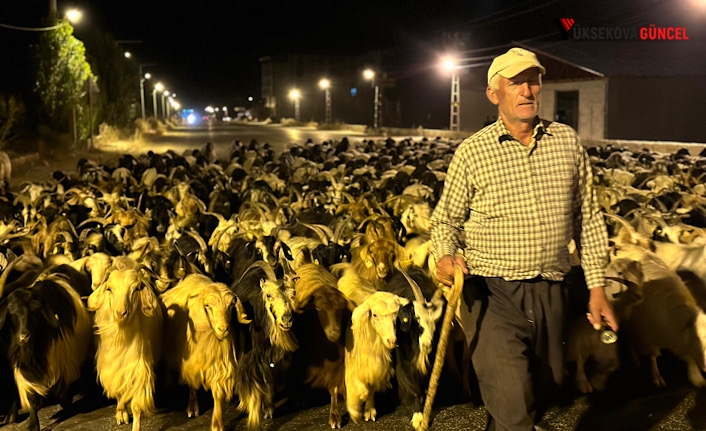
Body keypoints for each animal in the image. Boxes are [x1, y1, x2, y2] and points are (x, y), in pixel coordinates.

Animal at [86, 256, 164, 431]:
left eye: (136, 288)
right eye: (109, 289)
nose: (121, 313)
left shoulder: (138, 367)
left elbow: (135, 403)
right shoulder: (112, 367)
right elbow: (119, 392)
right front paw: (120, 414)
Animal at [160, 276, 250, 431]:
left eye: (231, 305)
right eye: (208, 306)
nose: (223, 329)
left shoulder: (220, 364)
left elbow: (218, 392)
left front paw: (217, 424)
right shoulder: (190, 361)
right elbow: (192, 383)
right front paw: (192, 407)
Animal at [342, 292, 408, 424]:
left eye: (396, 314)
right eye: (375, 315)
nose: (392, 340)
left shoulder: (375, 367)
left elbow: (370, 387)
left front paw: (369, 410)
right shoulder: (353, 364)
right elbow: (354, 384)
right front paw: (354, 410)